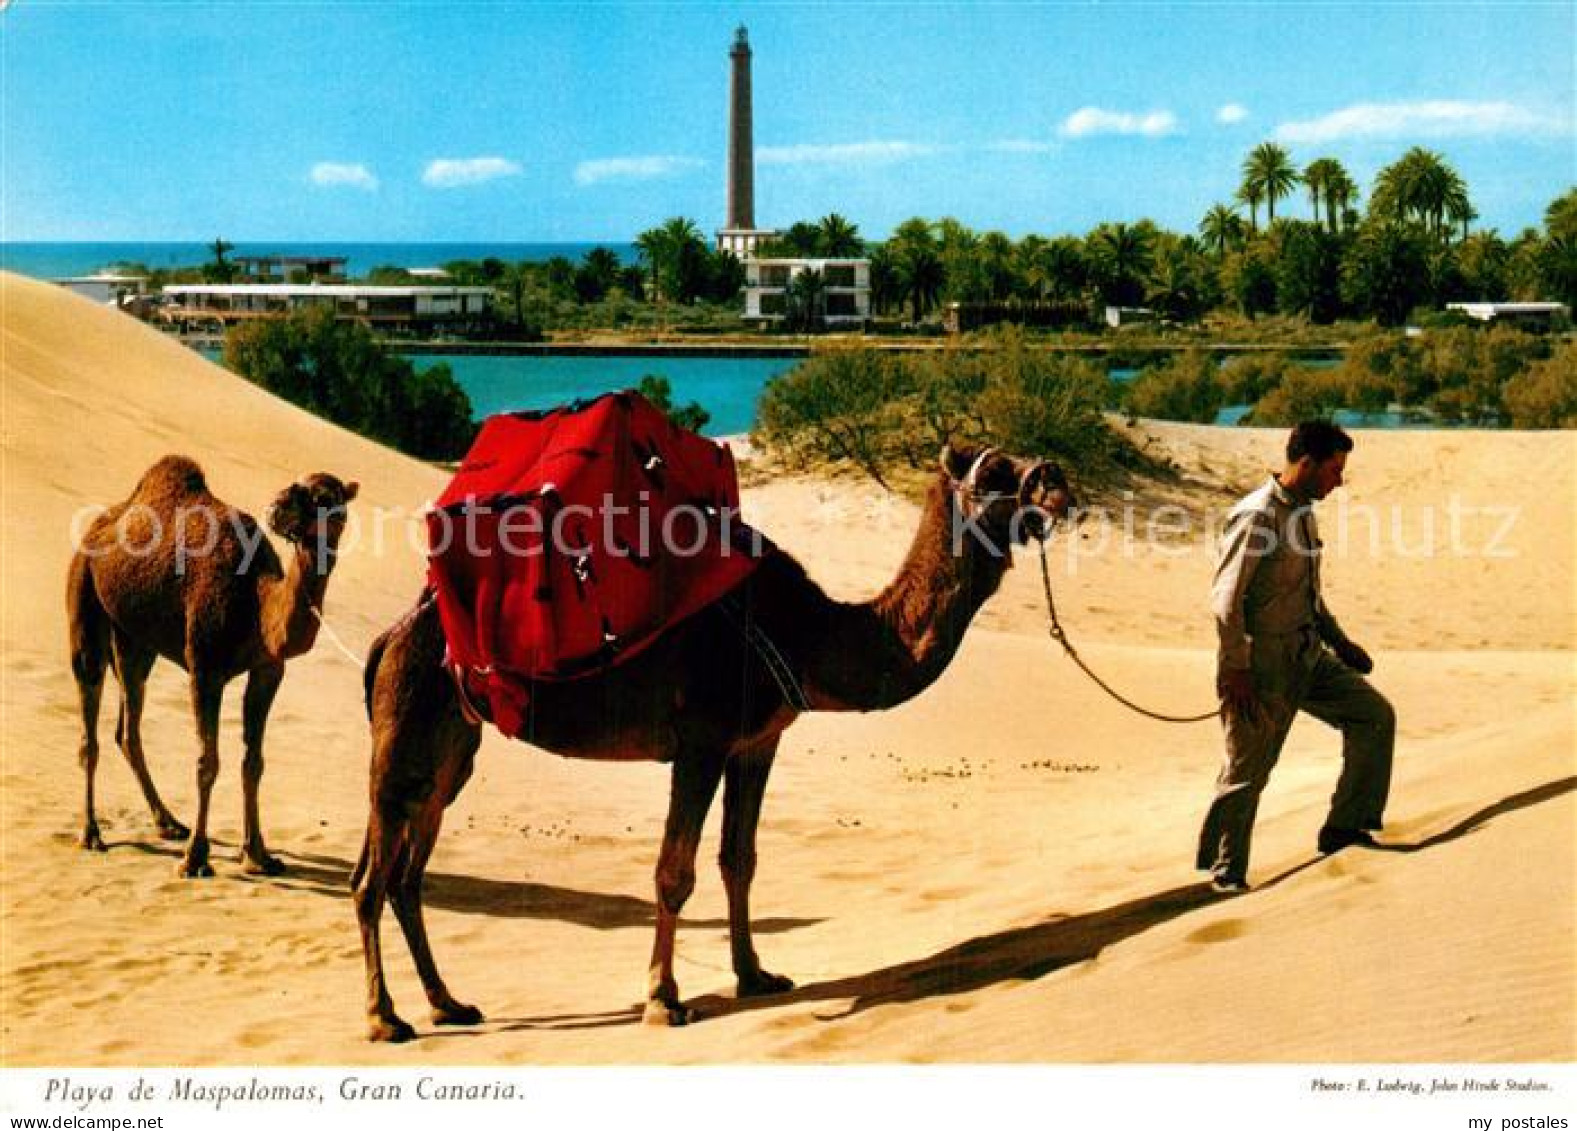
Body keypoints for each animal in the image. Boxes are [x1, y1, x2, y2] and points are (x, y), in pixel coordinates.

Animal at [67, 454, 357, 877]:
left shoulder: (268, 670)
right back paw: (91, 834)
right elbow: (208, 762)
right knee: (91, 726)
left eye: (333, 501)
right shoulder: (205, 668)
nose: (278, 506)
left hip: (135, 639)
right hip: (84, 595)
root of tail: (103, 522)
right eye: (301, 488)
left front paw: (258, 854)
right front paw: (195, 858)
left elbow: (253, 763)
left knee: (128, 727)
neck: (257, 603)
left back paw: (169, 822)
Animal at [354, 444, 1072, 1041]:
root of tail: (388, 637)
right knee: (372, 876)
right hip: (407, 727)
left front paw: (755, 975)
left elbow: (739, 858)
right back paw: (385, 1018)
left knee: (408, 872)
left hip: (452, 746)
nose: (1058, 481)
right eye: (997, 471)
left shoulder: (755, 743)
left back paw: (448, 1004)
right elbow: (674, 871)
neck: (804, 632)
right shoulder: (699, 742)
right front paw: (662, 999)